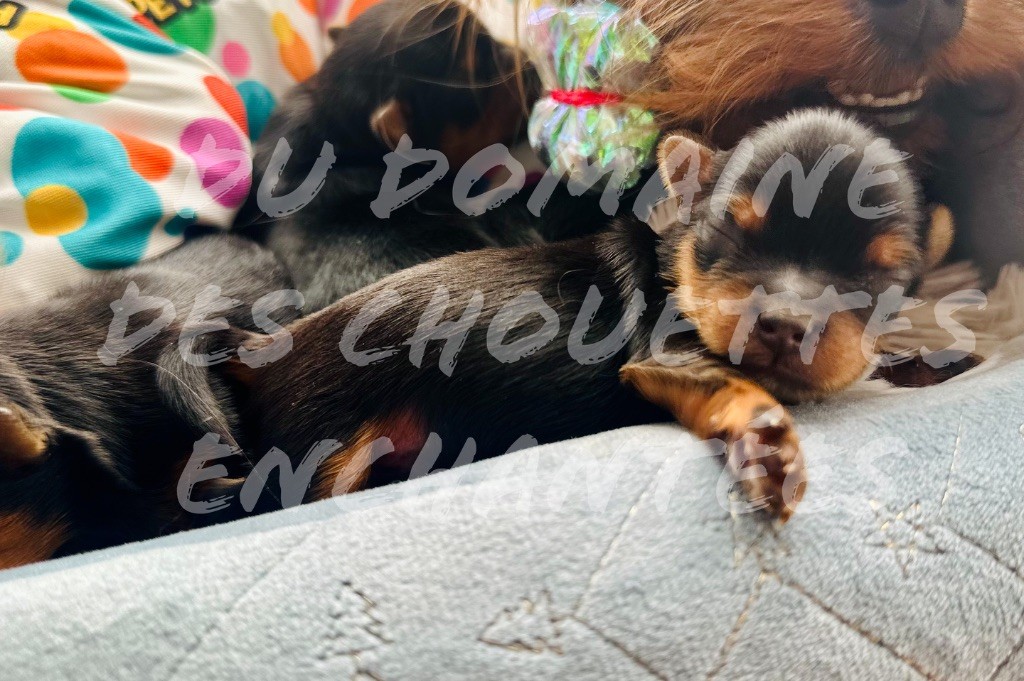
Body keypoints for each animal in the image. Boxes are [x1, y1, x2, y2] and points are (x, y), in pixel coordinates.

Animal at [225, 109, 955, 522]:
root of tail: (253, 356)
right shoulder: (664, 355)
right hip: (322, 445)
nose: (784, 323)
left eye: (879, 281)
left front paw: (927, 360)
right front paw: (769, 443)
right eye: (727, 238)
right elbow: (733, 382)